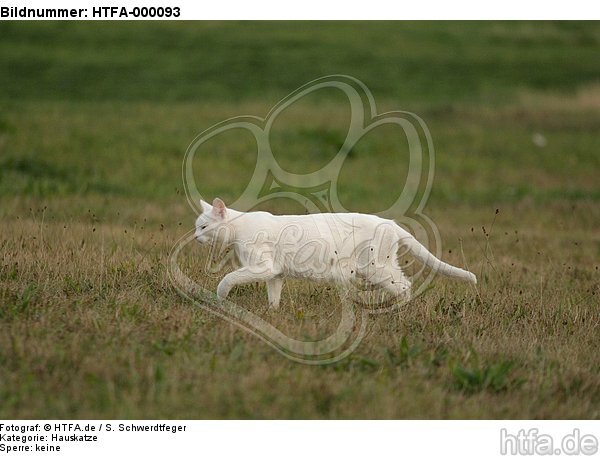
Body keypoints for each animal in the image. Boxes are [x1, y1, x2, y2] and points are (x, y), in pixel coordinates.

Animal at [197, 198, 478, 308]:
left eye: (204, 226)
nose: (197, 237)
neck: (237, 228)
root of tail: (390, 223)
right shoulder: (275, 273)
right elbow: (273, 296)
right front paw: (272, 312)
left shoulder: (263, 267)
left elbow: (229, 278)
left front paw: (220, 297)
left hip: (376, 268)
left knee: (405, 286)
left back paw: (400, 311)